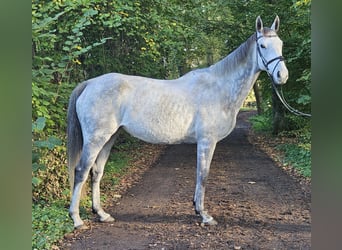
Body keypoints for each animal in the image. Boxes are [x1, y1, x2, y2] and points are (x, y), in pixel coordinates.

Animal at [67, 16, 288, 229]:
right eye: (262, 46)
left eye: (281, 44)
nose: (282, 75)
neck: (219, 88)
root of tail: (89, 84)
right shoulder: (207, 141)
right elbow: (203, 175)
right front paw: (204, 215)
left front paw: (198, 209)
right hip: (96, 138)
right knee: (81, 171)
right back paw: (76, 219)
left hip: (110, 137)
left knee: (97, 172)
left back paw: (102, 214)